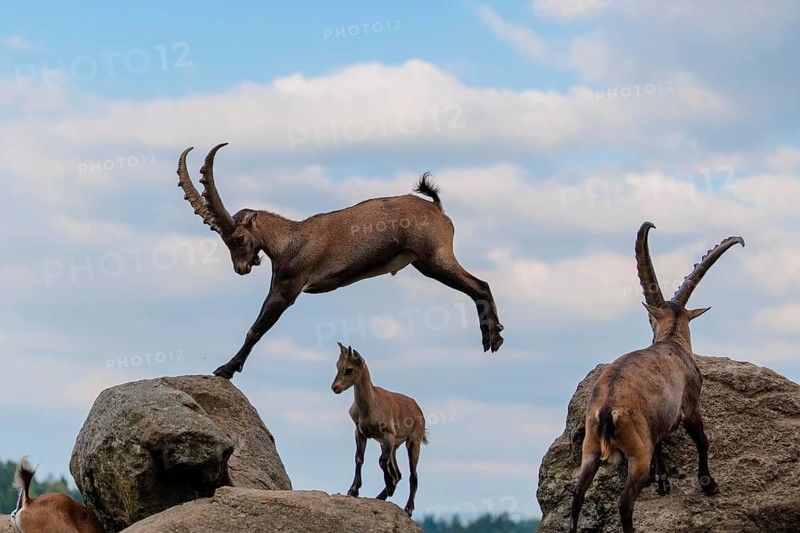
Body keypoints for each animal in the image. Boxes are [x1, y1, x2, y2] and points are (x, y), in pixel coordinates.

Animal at [177, 143, 504, 379]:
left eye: (238, 238)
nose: (241, 269)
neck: (289, 239)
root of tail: (437, 208)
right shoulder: (279, 284)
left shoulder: (287, 289)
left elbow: (255, 329)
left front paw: (226, 369)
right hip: (423, 263)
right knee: (477, 287)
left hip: (436, 257)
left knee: (481, 285)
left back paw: (494, 338)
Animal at [330, 342, 428, 517]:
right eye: (337, 365)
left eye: (349, 369)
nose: (335, 387)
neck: (370, 406)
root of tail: (417, 408)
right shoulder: (360, 432)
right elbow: (359, 458)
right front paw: (353, 490)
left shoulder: (388, 433)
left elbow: (381, 461)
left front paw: (389, 487)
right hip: (393, 446)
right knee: (398, 473)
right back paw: (381, 496)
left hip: (413, 442)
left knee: (413, 475)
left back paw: (408, 508)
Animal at [568, 222, 744, 533]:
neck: (671, 342)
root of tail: (606, 410)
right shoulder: (690, 405)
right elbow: (702, 439)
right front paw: (708, 484)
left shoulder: (657, 420)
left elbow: (661, 443)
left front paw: (663, 481)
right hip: (637, 455)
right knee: (624, 503)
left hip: (589, 450)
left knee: (577, 497)